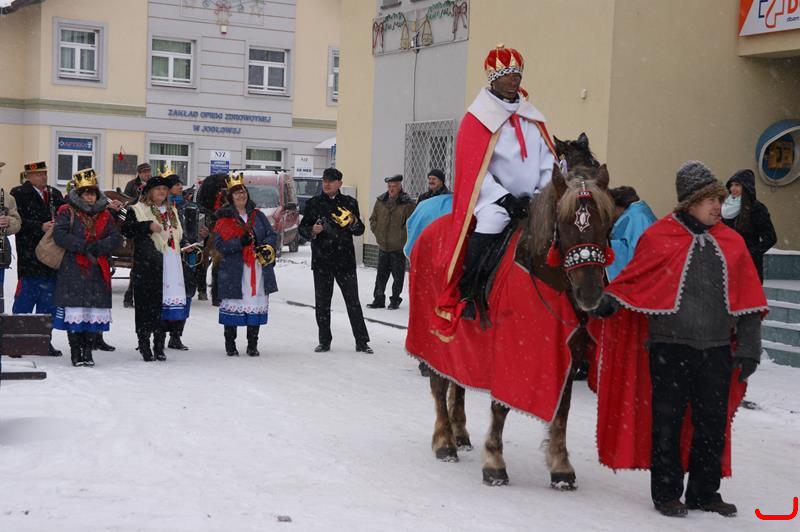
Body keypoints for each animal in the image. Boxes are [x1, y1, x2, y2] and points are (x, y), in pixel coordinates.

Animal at [406, 134, 614, 491]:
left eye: (606, 222)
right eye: (565, 224)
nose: (590, 294)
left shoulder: (569, 353)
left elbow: (563, 411)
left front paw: (561, 468)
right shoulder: (508, 349)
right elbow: (500, 405)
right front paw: (494, 463)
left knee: (457, 382)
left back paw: (460, 433)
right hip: (433, 336)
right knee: (438, 383)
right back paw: (445, 442)